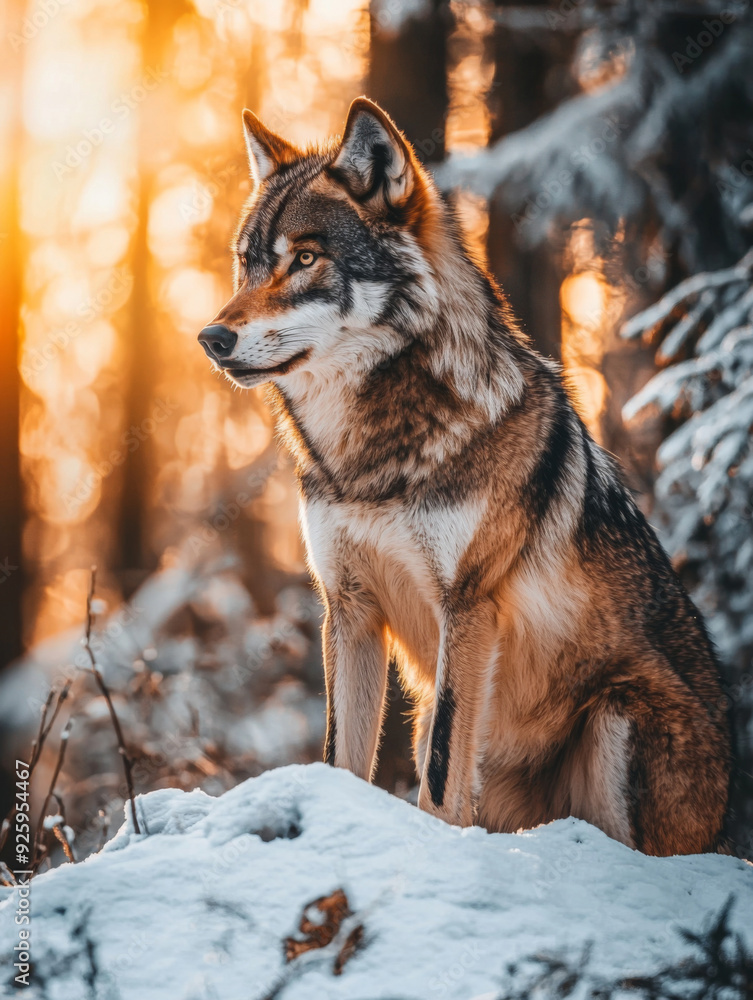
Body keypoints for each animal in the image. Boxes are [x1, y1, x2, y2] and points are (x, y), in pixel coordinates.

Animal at [199, 98, 731, 855]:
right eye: (246, 265)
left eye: (304, 258)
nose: (211, 339)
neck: (369, 461)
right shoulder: (348, 609)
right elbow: (339, 756)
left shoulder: (469, 608)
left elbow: (445, 771)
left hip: (616, 713)